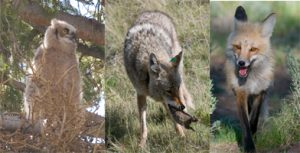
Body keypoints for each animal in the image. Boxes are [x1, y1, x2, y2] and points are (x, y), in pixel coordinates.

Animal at [225, 5, 276, 153]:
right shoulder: (240, 94)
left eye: (253, 49)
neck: (251, 80)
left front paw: (254, 138)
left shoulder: (260, 92)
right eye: (238, 47)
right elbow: (245, 123)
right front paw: (248, 146)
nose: (241, 63)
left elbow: (253, 120)